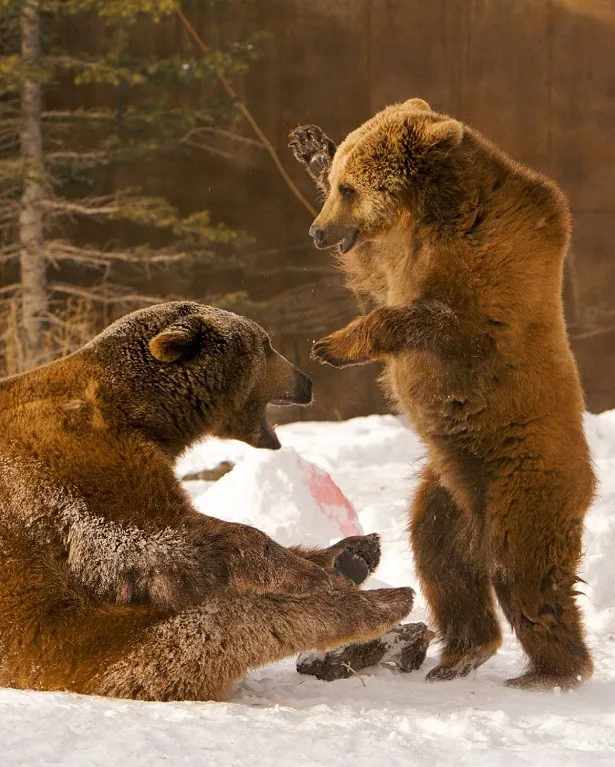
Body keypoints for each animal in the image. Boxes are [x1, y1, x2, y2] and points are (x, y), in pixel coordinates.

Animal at [1, 300, 414, 704]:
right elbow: (146, 528)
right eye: (266, 343)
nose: (306, 380)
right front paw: (310, 574)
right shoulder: (76, 446)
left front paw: (345, 553)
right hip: (62, 640)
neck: (141, 411)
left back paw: (354, 556)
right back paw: (377, 599)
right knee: (223, 622)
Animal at [292, 96, 600, 688]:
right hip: (449, 490)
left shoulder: (493, 273)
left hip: (522, 481)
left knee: (527, 573)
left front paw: (333, 344)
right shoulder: (398, 253)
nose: (316, 233)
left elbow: (434, 320)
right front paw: (308, 142)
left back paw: (551, 671)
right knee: (442, 558)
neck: (437, 211)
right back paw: (462, 652)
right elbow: (371, 274)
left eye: (350, 189)